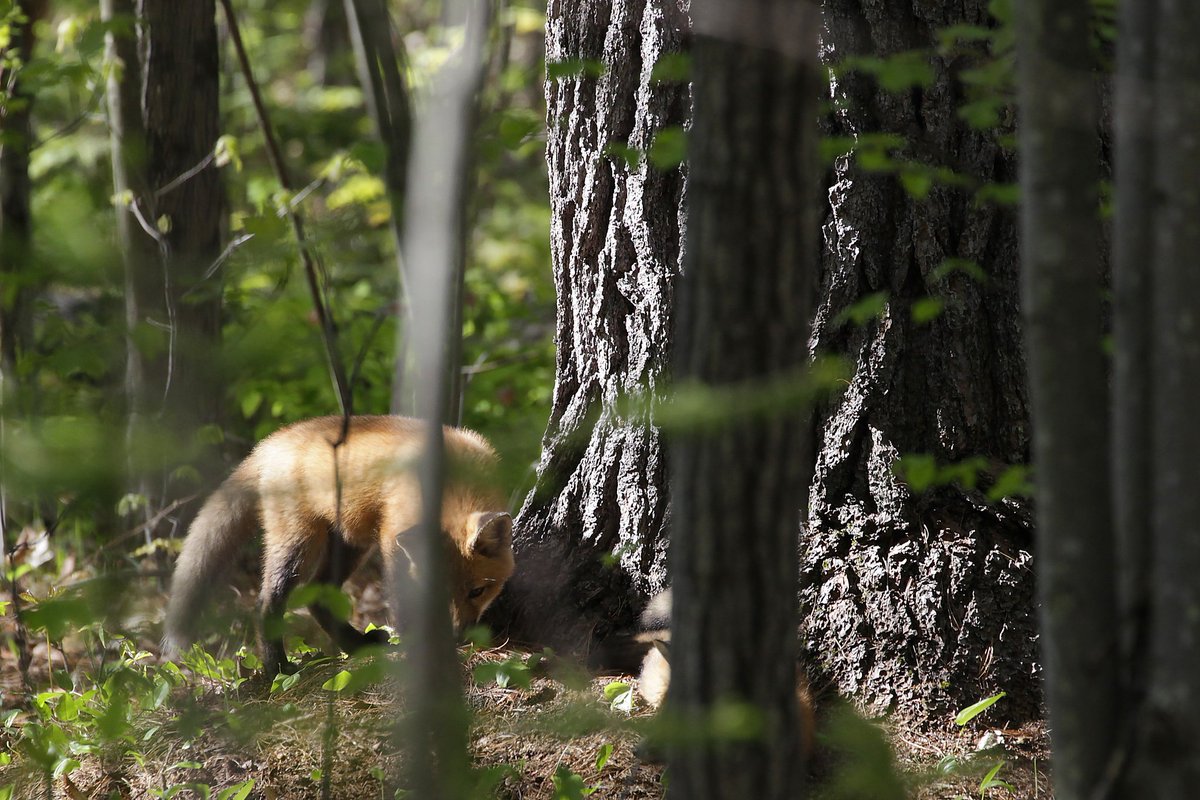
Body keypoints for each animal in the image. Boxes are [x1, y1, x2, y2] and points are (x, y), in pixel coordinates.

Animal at [162, 412, 513, 676]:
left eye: (478, 591)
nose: (459, 636)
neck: (453, 484)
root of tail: (273, 441)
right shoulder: (392, 537)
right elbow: (401, 600)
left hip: (350, 544)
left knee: (318, 597)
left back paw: (356, 645)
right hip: (299, 545)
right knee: (266, 602)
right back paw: (277, 668)